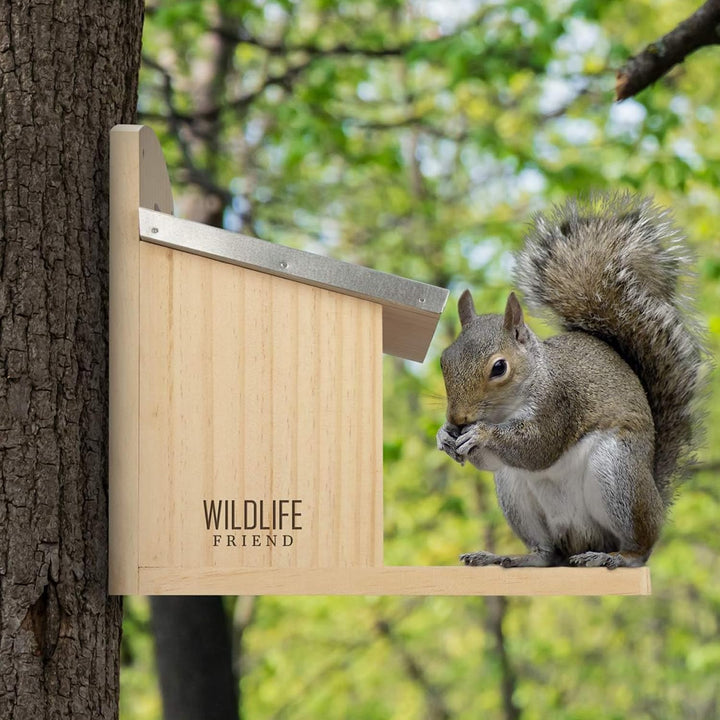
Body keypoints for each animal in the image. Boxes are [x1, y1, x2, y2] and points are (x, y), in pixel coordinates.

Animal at [437, 193, 705, 569]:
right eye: (444, 359)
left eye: (499, 368)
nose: (458, 418)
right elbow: (491, 460)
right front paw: (444, 436)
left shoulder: (559, 402)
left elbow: (538, 447)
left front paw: (480, 434)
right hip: (515, 493)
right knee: (546, 553)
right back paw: (511, 558)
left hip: (618, 474)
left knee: (640, 547)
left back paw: (615, 557)